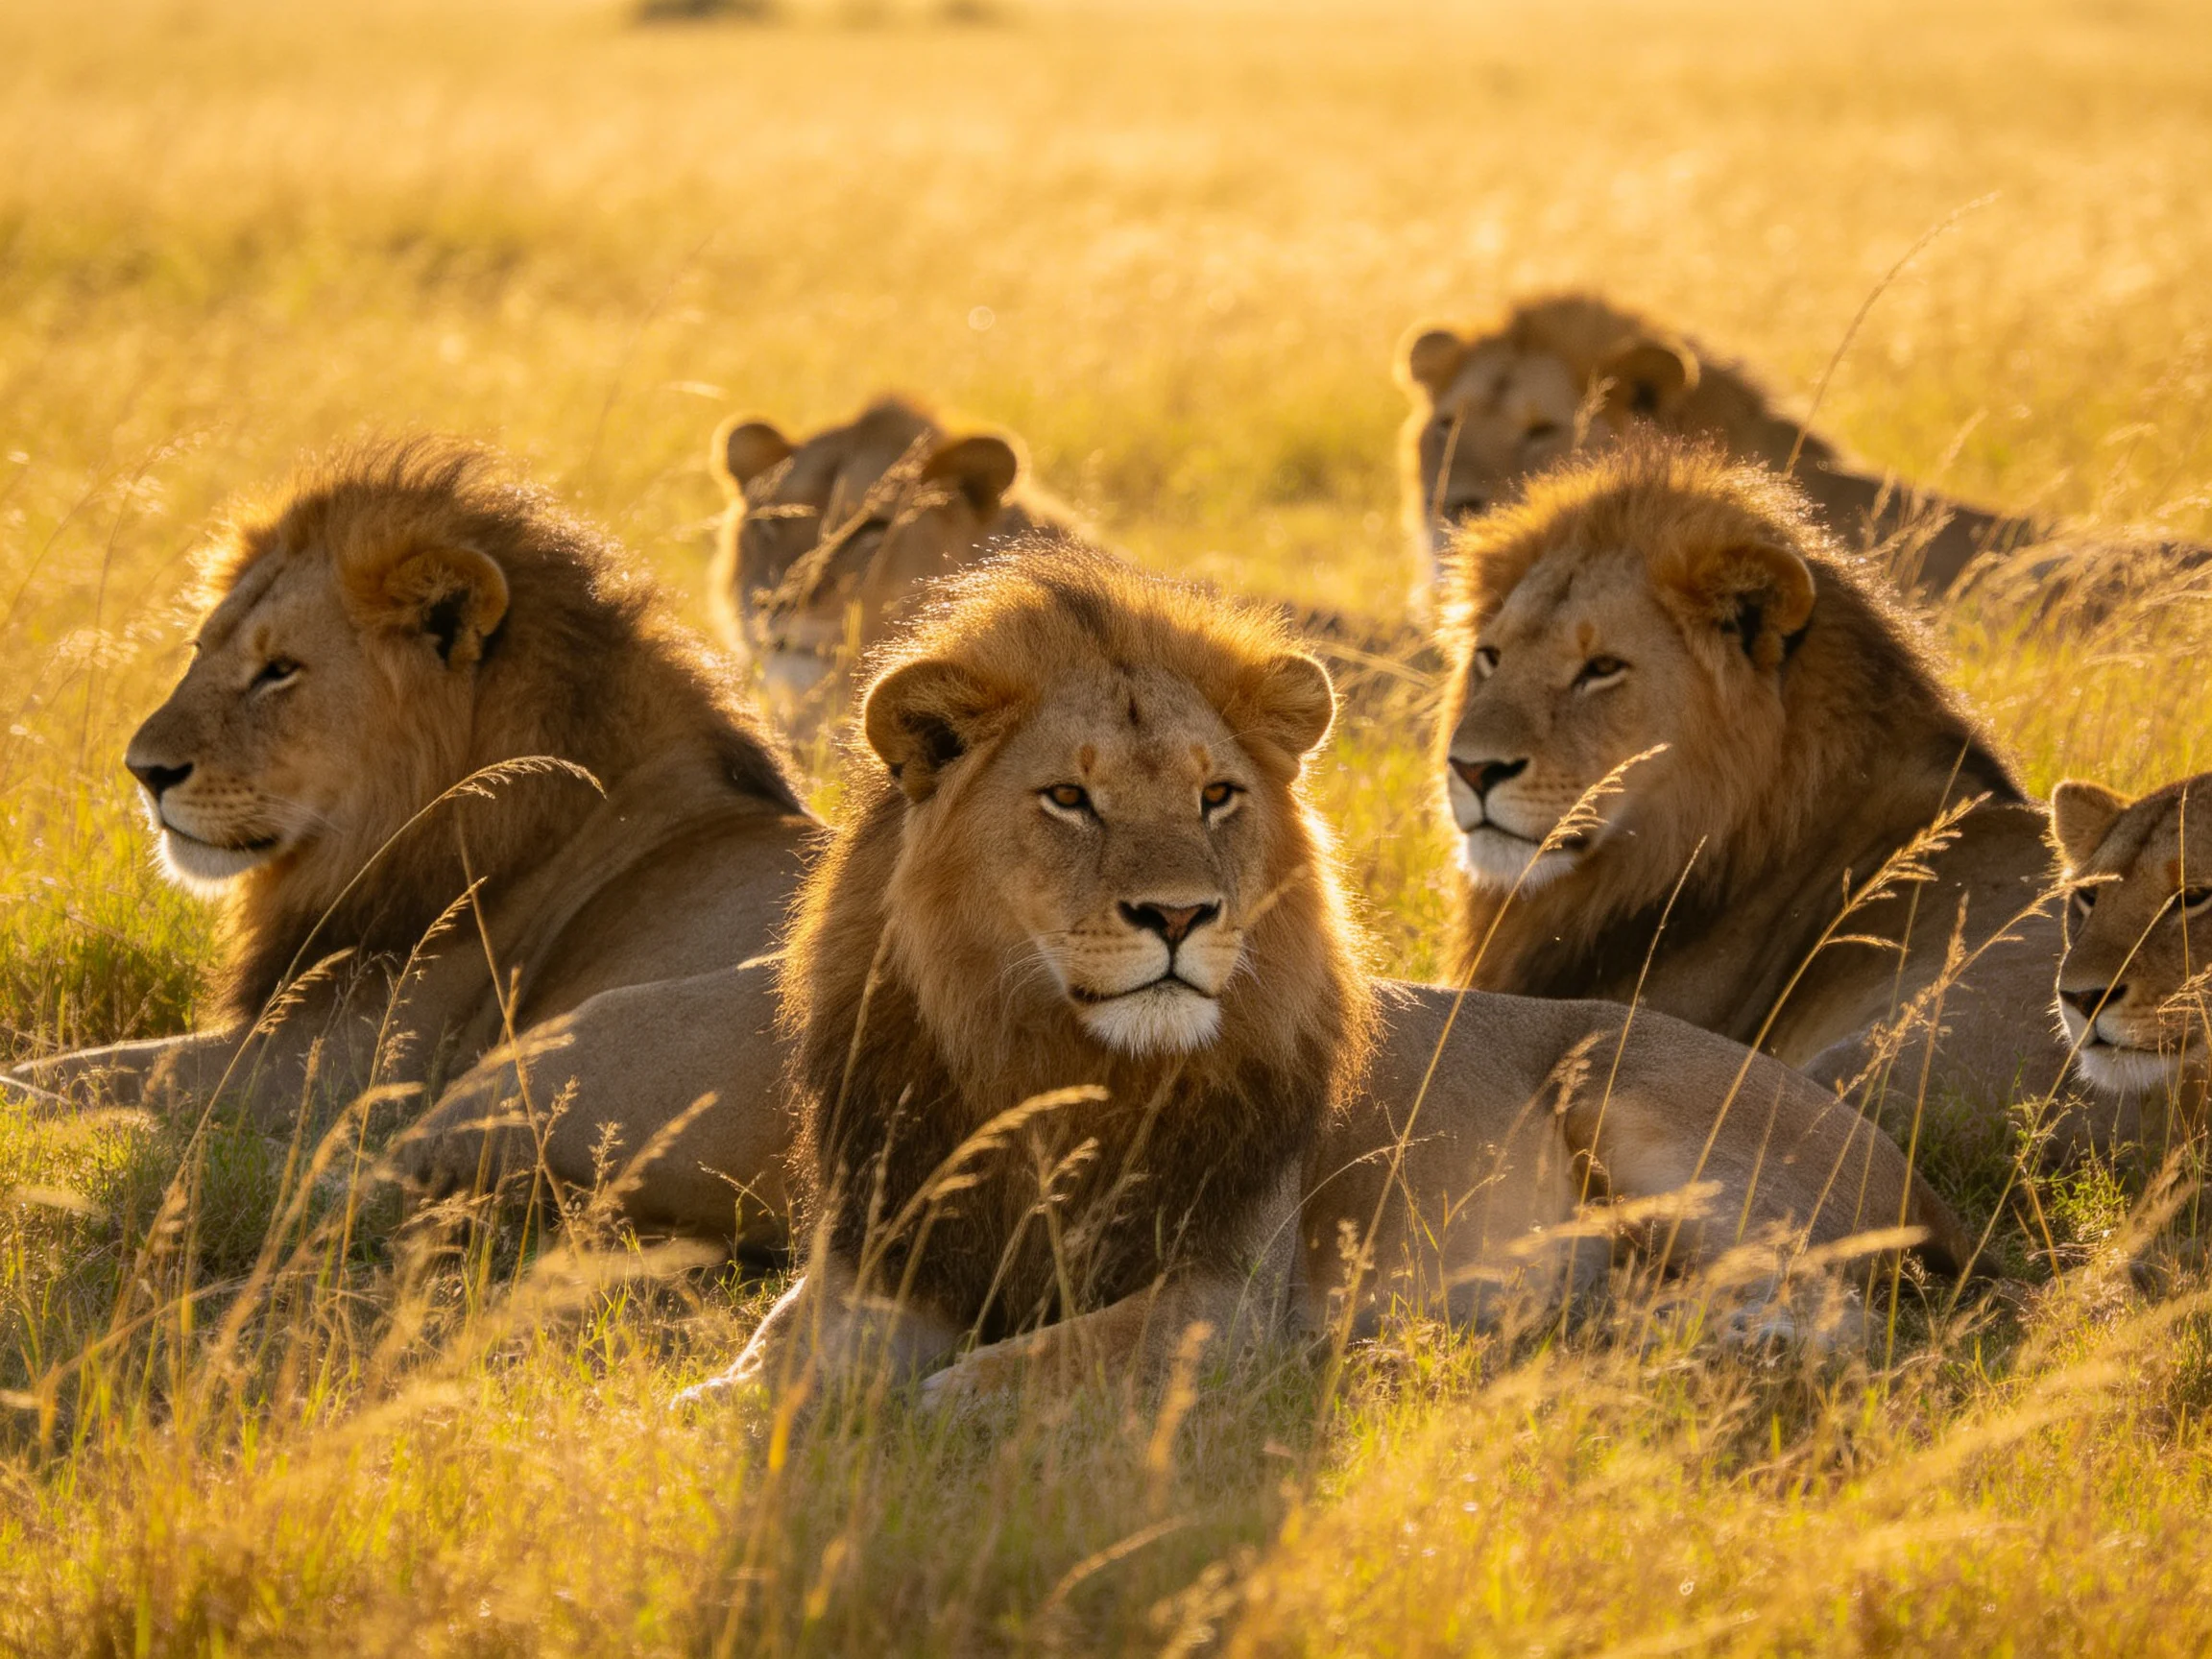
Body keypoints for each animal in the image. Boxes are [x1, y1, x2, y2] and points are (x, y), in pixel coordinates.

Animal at [5, 441, 811, 1244]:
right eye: (200, 649)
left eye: (279, 670)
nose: (143, 772)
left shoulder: (323, 1059)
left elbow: (89, 1072)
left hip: (550, 1052)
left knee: (333, 1179)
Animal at [684, 547, 1969, 1409]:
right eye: (1069, 798)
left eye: (1216, 795)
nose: (1178, 916)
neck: (1053, 1066)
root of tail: (1913, 1174)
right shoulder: (885, 1252)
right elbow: (772, 1358)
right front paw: (718, 1409)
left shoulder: (1223, 1296)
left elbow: (1020, 1369)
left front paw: (922, 1411)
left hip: (1622, 1087)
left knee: (1836, 1315)